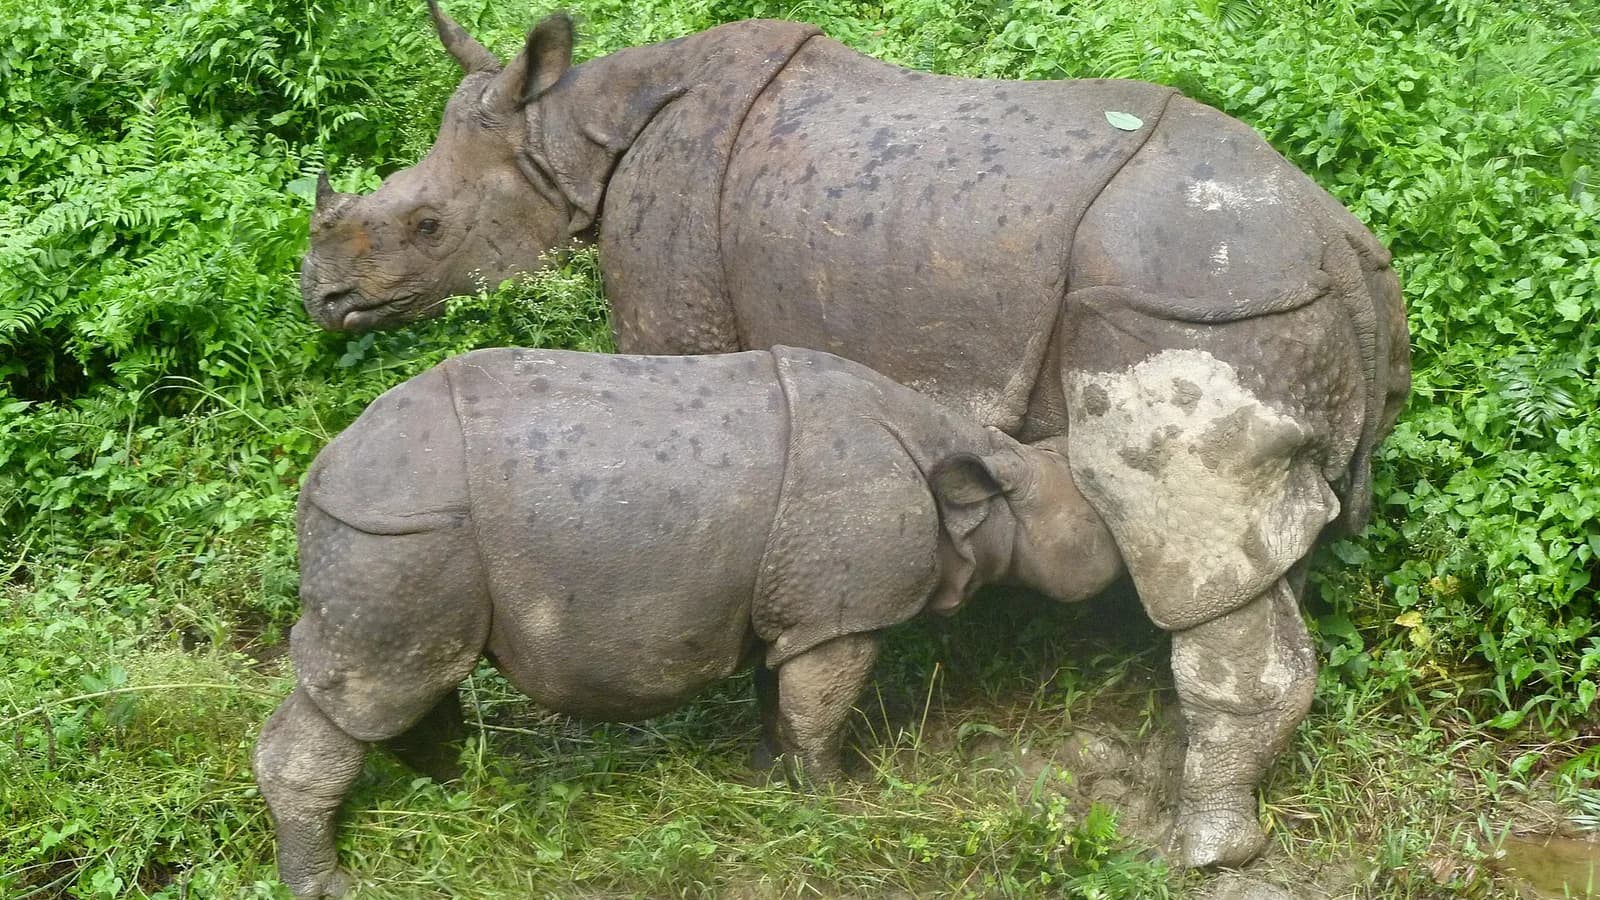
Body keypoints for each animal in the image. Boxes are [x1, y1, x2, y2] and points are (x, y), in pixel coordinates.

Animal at [253, 345, 1123, 898]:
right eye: (1096, 520)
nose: (1130, 563)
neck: (975, 482)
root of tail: (323, 470)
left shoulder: (799, 603)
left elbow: (785, 696)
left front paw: (770, 777)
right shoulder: (843, 610)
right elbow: (823, 710)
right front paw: (840, 800)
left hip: (403, 533)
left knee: (415, 675)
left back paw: (460, 790)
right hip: (399, 531)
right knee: (378, 682)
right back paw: (330, 883)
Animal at [297, 3, 1412, 869]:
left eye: (428, 227)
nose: (322, 300)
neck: (572, 129)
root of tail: (1338, 245)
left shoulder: (672, 298)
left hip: (1193, 302)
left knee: (1185, 541)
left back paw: (1199, 850)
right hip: (1270, 311)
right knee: (1266, 549)